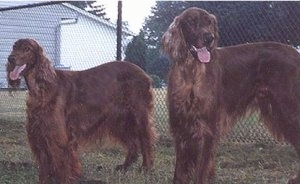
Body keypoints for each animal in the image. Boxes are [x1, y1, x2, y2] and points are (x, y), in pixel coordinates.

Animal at [5, 38, 156, 183]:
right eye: (14, 47)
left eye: (27, 48)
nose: (10, 58)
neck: (42, 88)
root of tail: (145, 74)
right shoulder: (40, 131)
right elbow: (44, 164)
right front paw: (45, 179)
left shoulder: (58, 135)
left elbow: (61, 163)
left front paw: (63, 179)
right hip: (120, 119)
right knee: (133, 144)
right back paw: (124, 167)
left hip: (138, 115)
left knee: (145, 141)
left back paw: (146, 168)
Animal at [162, 6, 300, 183]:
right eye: (191, 21)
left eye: (209, 22)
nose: (209, 38)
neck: (191, 72)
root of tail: (296, 54)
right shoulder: (180, 127)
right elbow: (179, 172)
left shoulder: (207, 129)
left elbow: (201, 171)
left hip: (288, 110)